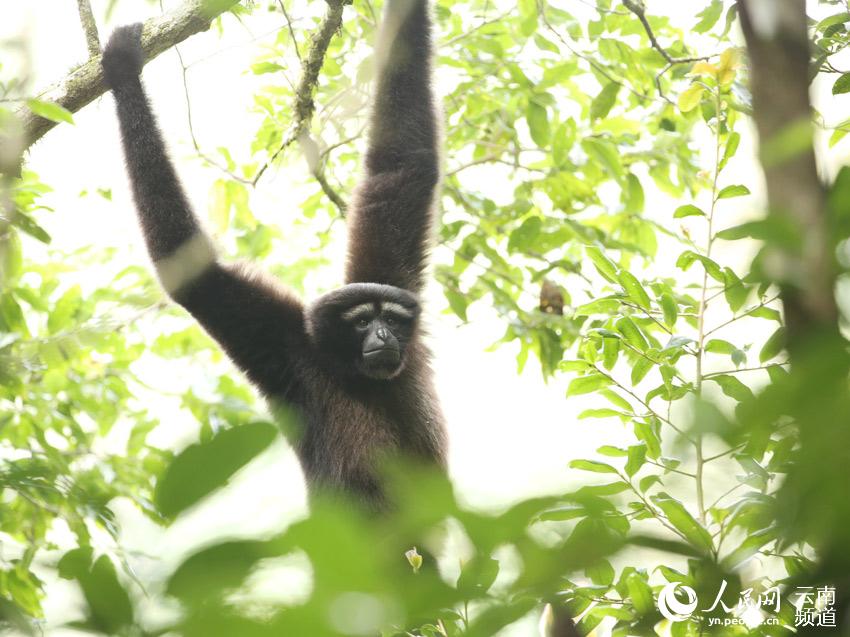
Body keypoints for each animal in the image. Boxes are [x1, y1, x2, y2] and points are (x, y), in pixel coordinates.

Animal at [101, 0, 447, 512]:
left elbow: (402, 164)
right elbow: (193, 272)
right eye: (363, 321)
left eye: (390, 318)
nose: (383, 334)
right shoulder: (284, 346)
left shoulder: (390, 282)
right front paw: (124, 70)